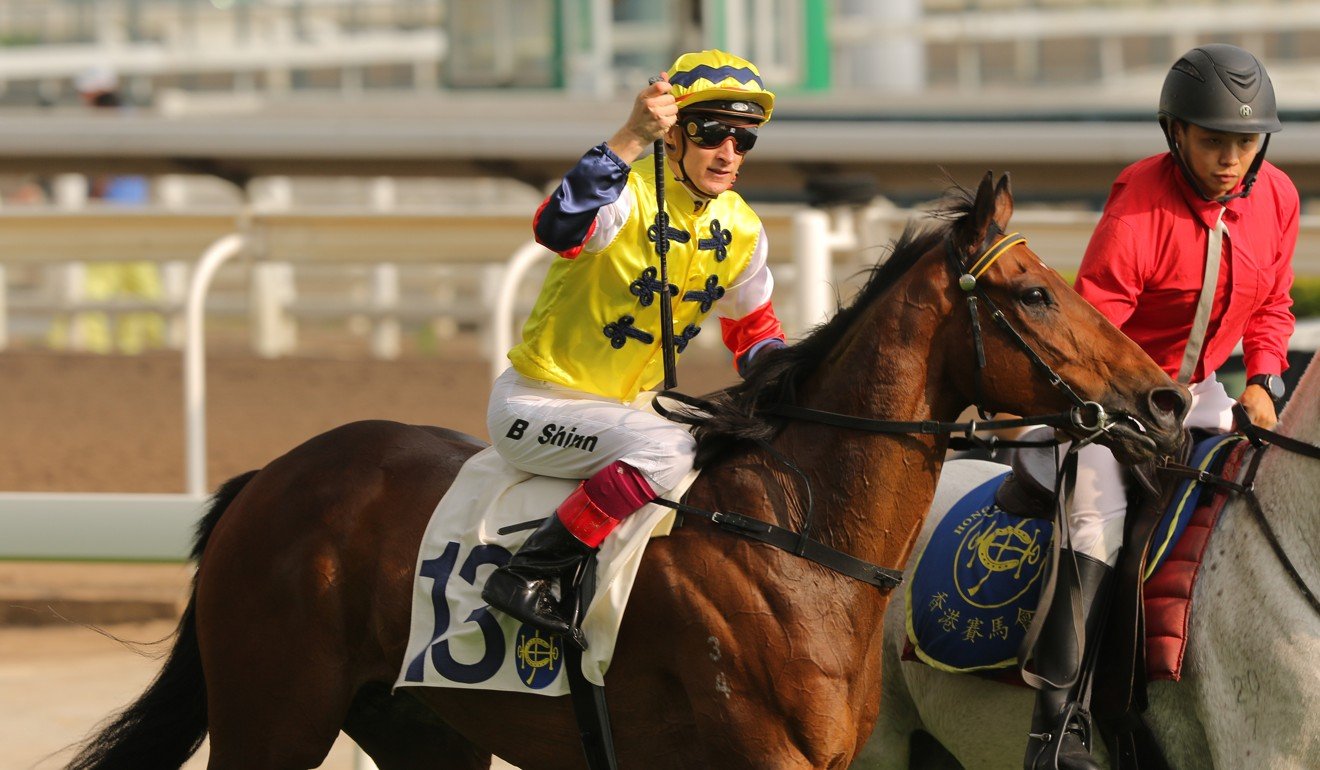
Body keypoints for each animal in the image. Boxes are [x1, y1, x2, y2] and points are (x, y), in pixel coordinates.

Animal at [69, 171, 1188, 766]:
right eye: (1036, 293)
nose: (1166, 401)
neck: (799, 534)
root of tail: (266, 479)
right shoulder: (761, 752)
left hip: (421, 722)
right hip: (273, 715)